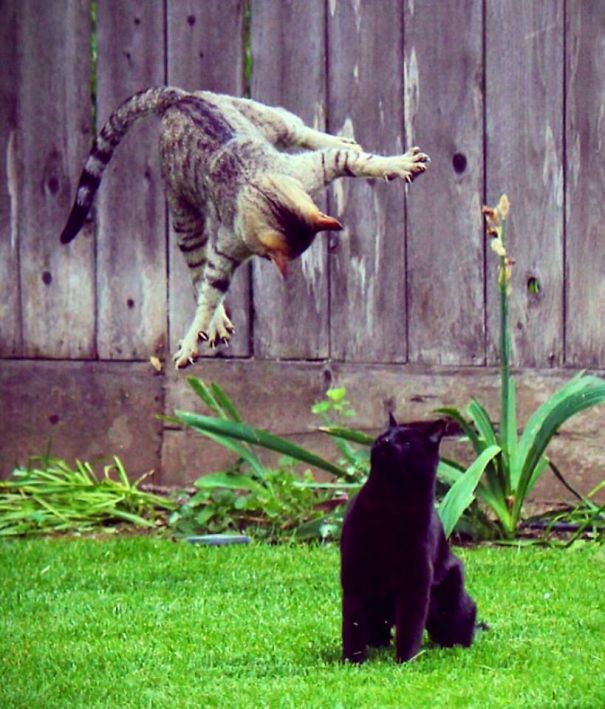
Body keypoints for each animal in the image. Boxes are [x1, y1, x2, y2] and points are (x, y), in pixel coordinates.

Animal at [60, 87, 429, 368]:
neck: (254, 183)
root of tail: (179, 97)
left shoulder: (309, 171)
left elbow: (357, 162)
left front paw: (397, 163)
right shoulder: (230, 244)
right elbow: (209, 292)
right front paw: (194, 335)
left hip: (262, 118)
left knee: (299, 129)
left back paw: (342, 140)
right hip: (184, 210)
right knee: (198, 269)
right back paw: (217, 320)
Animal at [340, 415, 478, 664]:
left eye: (406, 443)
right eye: (384, 436)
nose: (385, 442)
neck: (391, 503)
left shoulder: (416, 575)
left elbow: (411, 623)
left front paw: (405, 660)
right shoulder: (354, 570)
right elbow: (352, 623)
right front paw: (352, 660)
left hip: (453, 602)